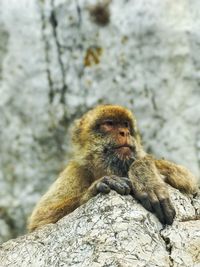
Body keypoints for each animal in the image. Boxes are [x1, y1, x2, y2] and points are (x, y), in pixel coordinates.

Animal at [27, 104, 198, 232]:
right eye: (109, 124)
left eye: (125, 125)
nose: (125, 132)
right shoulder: (76, 170)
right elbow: (41, 222)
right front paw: (100, 185)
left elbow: (188, 180)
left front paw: (144, 175)